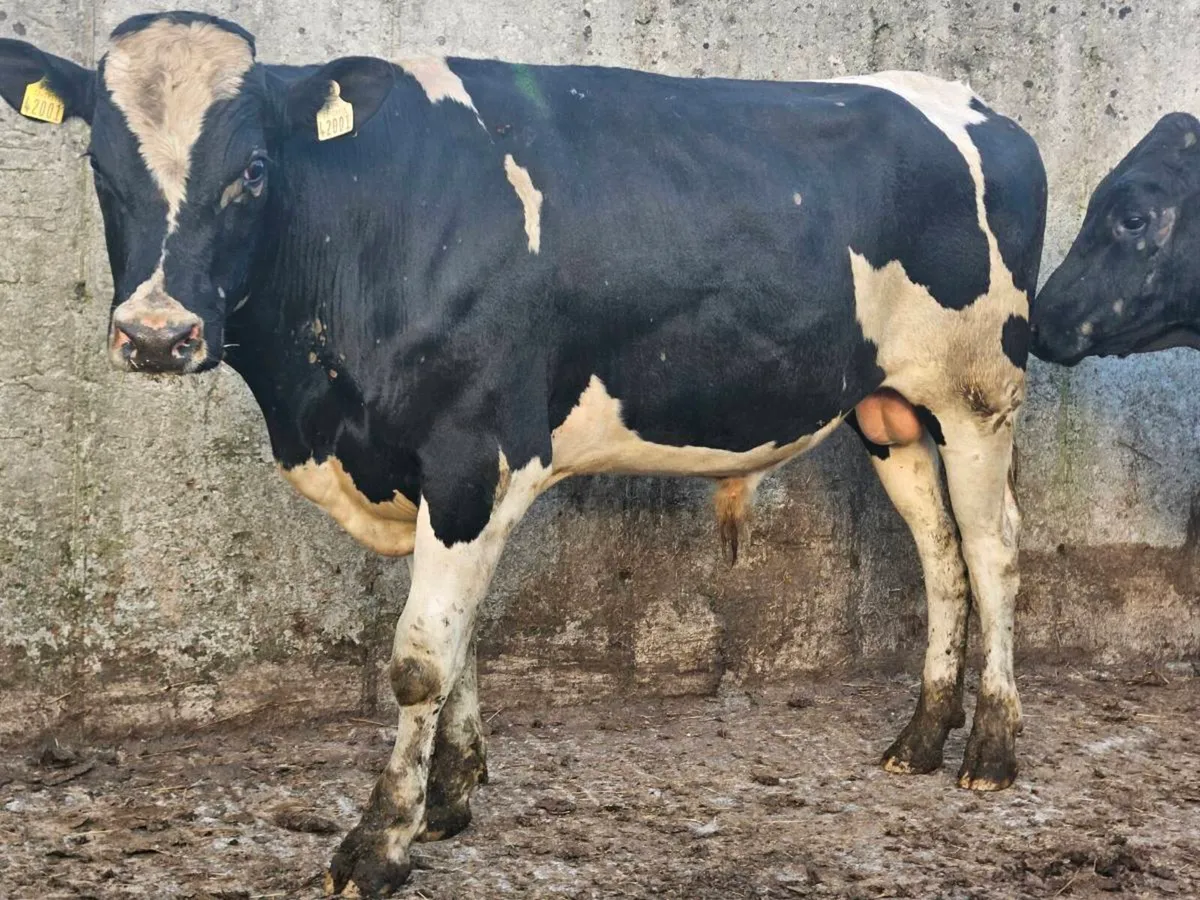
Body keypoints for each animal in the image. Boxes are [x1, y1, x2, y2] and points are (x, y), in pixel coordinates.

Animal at [0, 12, 1046, 897]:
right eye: (98, 161)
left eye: (254, 167)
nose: (156, 334)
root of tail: (983, 110)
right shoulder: (424, 473)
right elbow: (456, 642)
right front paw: (449, 801)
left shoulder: (475, 453)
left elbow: (419, 658)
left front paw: (378, 843)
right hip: (889, 408)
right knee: (939, 552)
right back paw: (921, 736)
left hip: (978, 391)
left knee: (994, 549)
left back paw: (992, 749)